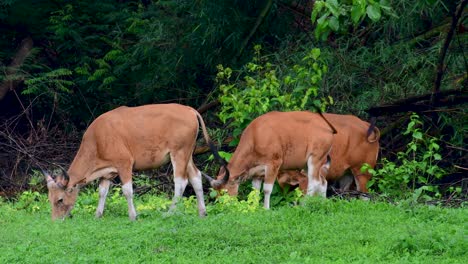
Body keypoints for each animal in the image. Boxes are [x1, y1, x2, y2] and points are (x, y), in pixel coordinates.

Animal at [41, 103, 222, 221]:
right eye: (49, 199)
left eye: (60, 200)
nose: (55, 220)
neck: (98, 140)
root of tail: (190, 110)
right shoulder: (107, 172)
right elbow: (102, 192)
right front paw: (98, 215)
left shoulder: (125, 164)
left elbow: (127, 191)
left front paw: (133, 216)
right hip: (188, 154)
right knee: (196, 177)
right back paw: (202, 212)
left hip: (179, 152)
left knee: (181, 182)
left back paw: (169, 212)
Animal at [203, 110, 334, 208]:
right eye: (216, 192)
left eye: (224, 191)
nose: (223, 206)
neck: (256, 137)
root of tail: (327, 127)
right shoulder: (256, 173)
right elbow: (255, 191)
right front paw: (254, 208)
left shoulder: (274, 164)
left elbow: (266, 190)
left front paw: (266, 209)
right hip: (308, 164)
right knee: (322, 181)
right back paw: (322, 203)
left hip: (315, 159)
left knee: (314, 182)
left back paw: (304, 206)